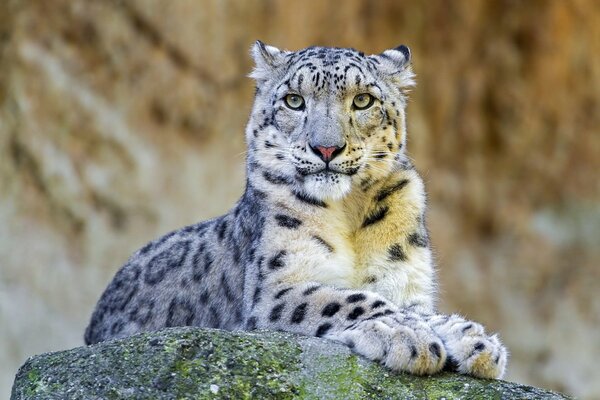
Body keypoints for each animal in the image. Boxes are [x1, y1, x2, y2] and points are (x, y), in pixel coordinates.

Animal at [84, 42, 506, 380]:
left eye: (363, 100)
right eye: (293, 100)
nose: (326, 148)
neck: (349, 213)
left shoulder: (403, 280)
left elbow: (415, 308)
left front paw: (474, 340)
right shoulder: (275, 289)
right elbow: (349, 298)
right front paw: (407, 335)